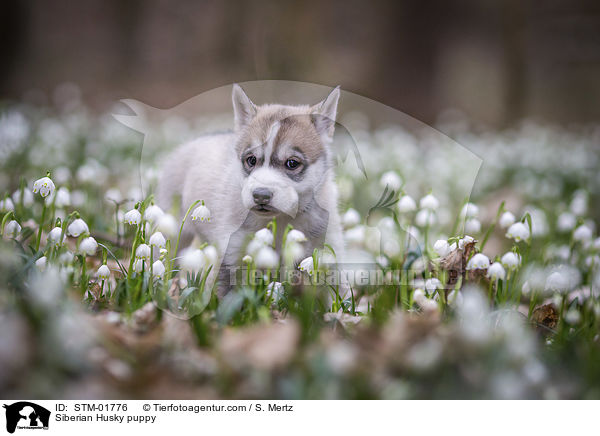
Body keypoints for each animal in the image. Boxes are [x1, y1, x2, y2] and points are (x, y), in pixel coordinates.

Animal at [158, 84, 346, 296]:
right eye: (251, 160)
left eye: (292, 163)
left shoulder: (328, 255)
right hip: (173, 233)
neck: (281, 221)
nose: (260, 195)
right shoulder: (230, 256)